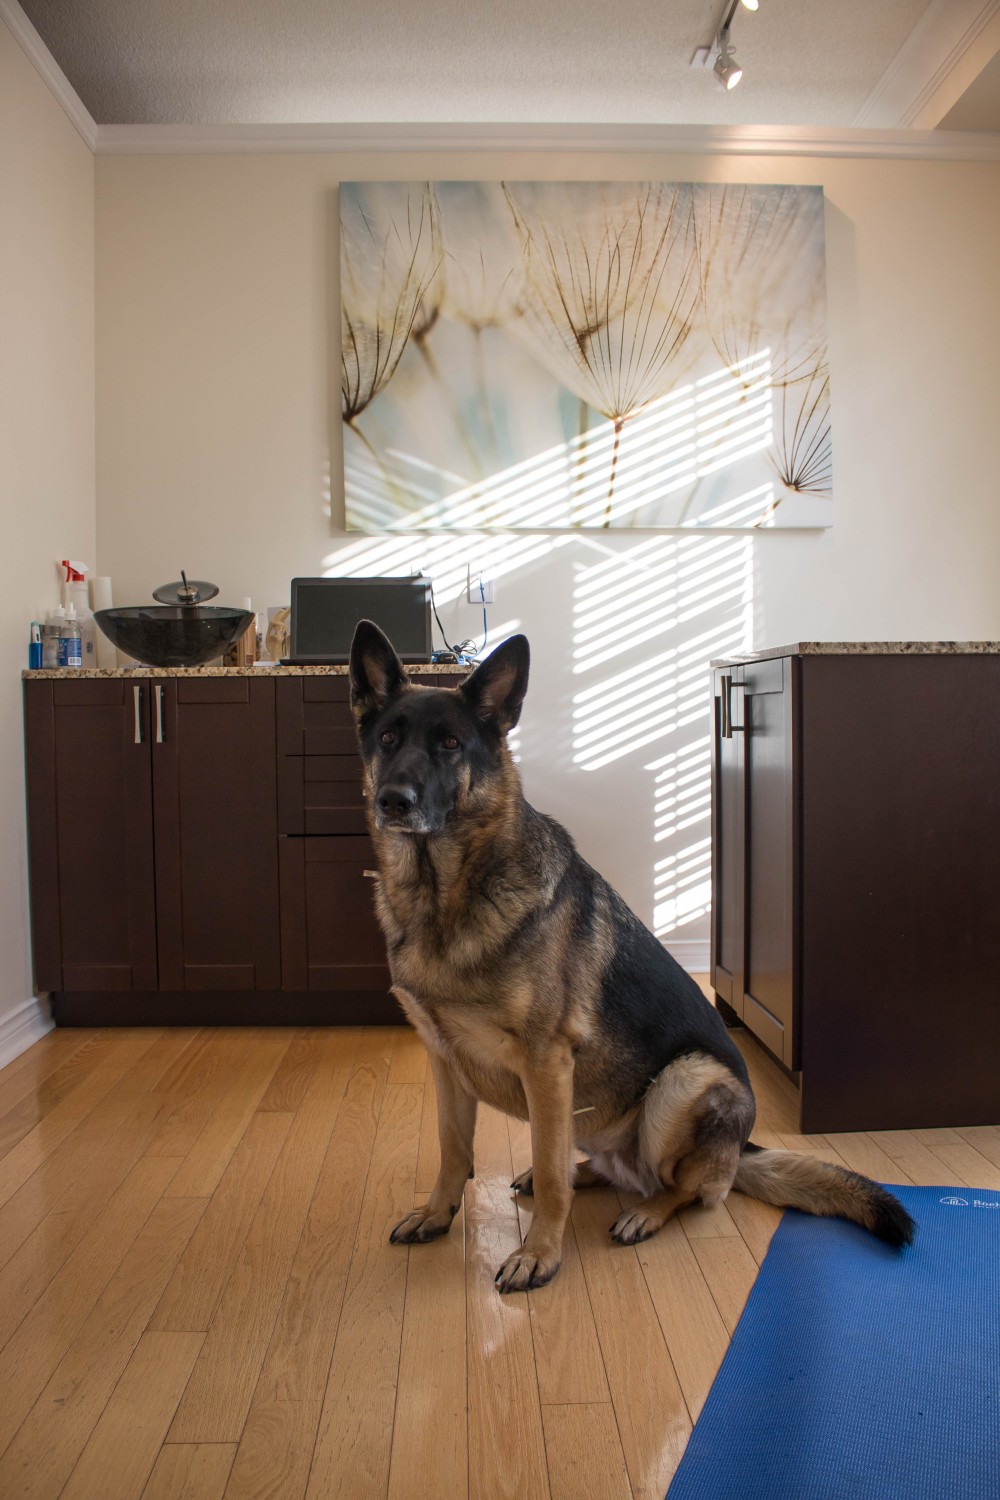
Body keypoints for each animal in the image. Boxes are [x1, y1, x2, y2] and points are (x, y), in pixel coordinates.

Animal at [350, 621, 917, 1290]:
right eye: (388, 738)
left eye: (450, 744)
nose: (393, 801)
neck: (445, 895)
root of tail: (741, 1148)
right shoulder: (445, 1061)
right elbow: (452, 1150)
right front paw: (437, 1214)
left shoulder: (546, 1063)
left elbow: (549, 1171)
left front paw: (540, 1253)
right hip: (600, 1113)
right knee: (602, 1163)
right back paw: (587, 1175)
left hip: (686, 1080)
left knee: (686, 1189)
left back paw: (645, 1212)